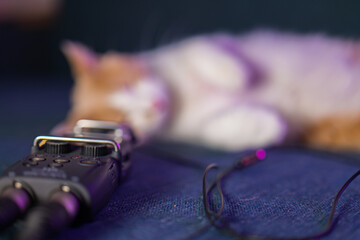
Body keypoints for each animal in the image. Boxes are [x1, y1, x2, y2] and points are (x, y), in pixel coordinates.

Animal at [52, 31, 360, 151]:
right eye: (125, 122)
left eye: (127, 85)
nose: (153, 106)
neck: (181, 100)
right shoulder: (191, 130)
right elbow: (212, 130)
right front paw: (266, 125)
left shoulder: (183, 51)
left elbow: (197, 47)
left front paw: (234, 74)